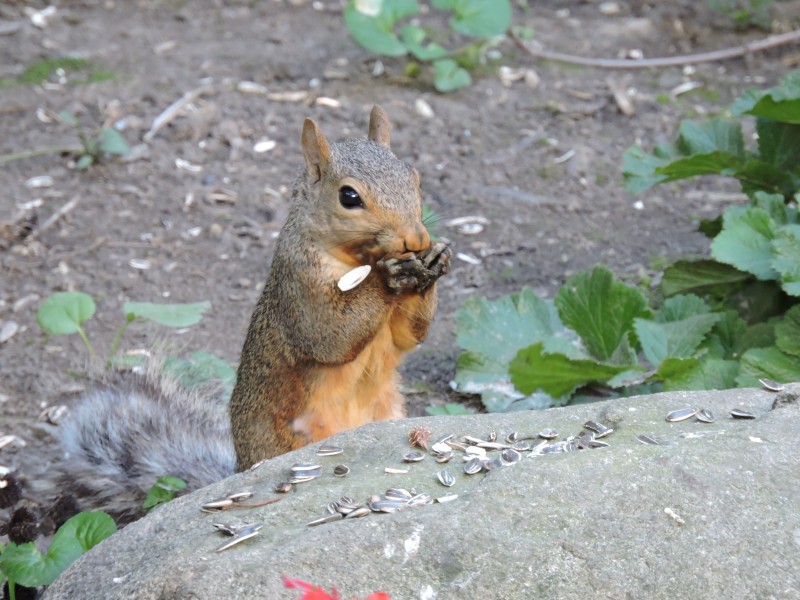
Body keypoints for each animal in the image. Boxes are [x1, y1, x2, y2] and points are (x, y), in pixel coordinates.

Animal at [36, 105, 450, 524]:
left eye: (414, 176)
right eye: (349, 196)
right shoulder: (298, 290)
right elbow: (330, 335)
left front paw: (435, 260)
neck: (356, 259)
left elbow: (409, 335)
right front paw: (388, 275)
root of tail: (238, 469)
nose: (416, 239)